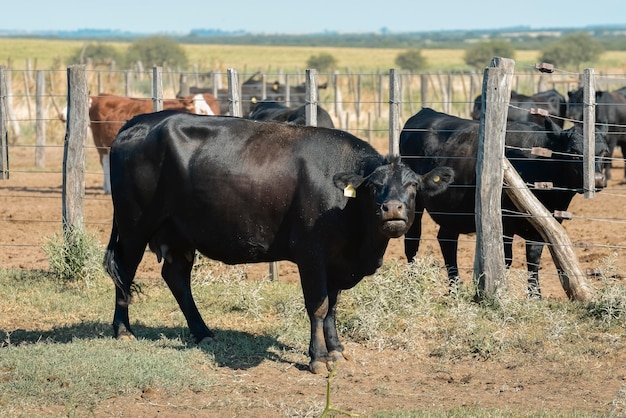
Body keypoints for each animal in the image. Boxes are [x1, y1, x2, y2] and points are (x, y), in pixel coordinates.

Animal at [105, 109, 450, 374]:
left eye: (413, 186)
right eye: (374, 186)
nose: (392, 208)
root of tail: (140, 121)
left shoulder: (337, 261)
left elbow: (334, 306)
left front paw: (336, 349)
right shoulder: (311, 255)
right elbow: (318, 306)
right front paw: (318, 357)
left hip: (178, 232)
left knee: (176, 277)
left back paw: (203, 333)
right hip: (134, 226)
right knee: (125, 271)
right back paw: (123, 331)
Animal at [398, 108, 608, 298]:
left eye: (603, 152)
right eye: (573, 152)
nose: (598, 180)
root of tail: (426, 112)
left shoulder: (542, 223)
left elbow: (534, 258)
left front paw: (535, 296)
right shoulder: (505, 222)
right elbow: (505, 258)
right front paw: (501, 291)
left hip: (451, 210)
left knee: (447, 240)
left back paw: (455, 289)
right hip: (415, 204)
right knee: (412, 242)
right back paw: (413, 287)